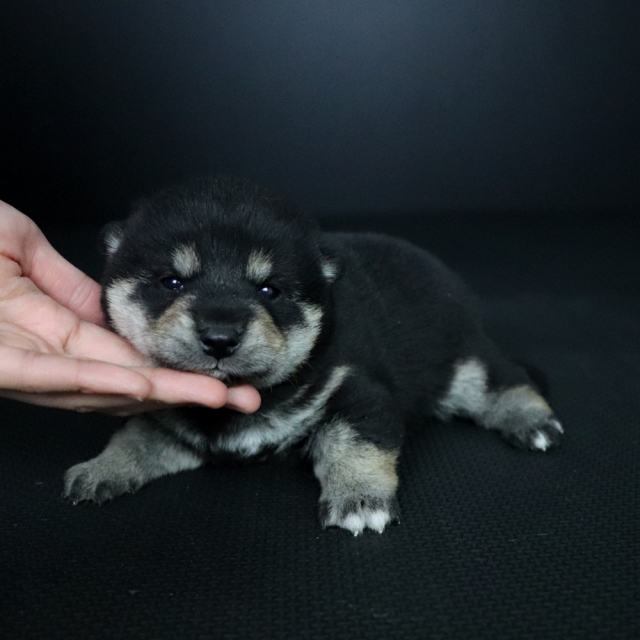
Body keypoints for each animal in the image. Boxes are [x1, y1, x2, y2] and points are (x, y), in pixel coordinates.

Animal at [63, 176, 563, 535]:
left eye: (269, 290)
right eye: (171, 281)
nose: (220, 337)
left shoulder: (356, 388)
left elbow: (354, 443)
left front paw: (360, 498)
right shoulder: (172, 423)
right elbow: (136, 437)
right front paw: (101, 468)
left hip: (461, 359)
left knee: (503, 379)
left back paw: (532, 420)